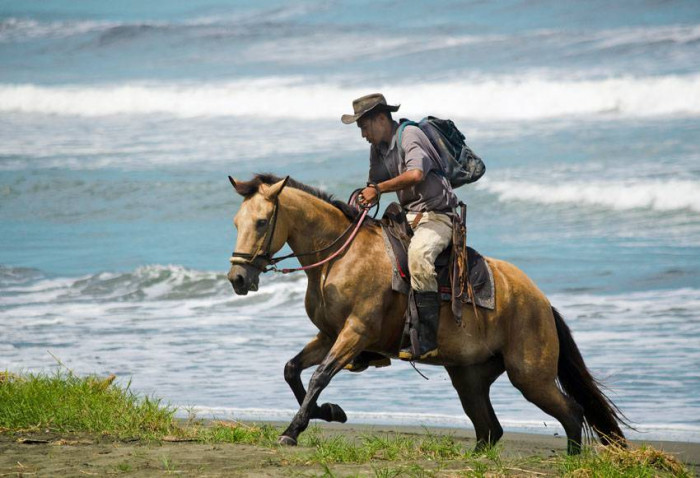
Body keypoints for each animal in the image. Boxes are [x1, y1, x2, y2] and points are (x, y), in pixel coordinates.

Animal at [227, 174, 628, 454]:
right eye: (235, 222)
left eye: (261, 222)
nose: (238, 278)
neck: (338, 257)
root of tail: (541, 302)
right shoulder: (328, 335)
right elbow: (292, 370)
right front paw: (330, 412)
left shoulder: (354, 333)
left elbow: (318, 377)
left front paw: (293, 431)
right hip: (470, 378)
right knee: (490, 429)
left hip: (531, 377)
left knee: (571, 413)